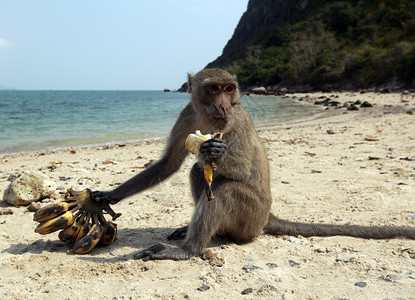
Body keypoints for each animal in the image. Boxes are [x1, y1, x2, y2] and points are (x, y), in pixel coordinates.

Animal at [92, 68, 415, 260]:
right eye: (213, 89)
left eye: (228, 89)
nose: (224, 105)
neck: (210, 118)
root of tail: (267, 216)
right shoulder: (187, 116)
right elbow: (168, 164)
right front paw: (107, 196)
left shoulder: (235, 121)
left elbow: (243, 169)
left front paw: (215, 150)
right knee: (199, 173)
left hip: (250, 219)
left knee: (225, 190)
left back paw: (189, 251)